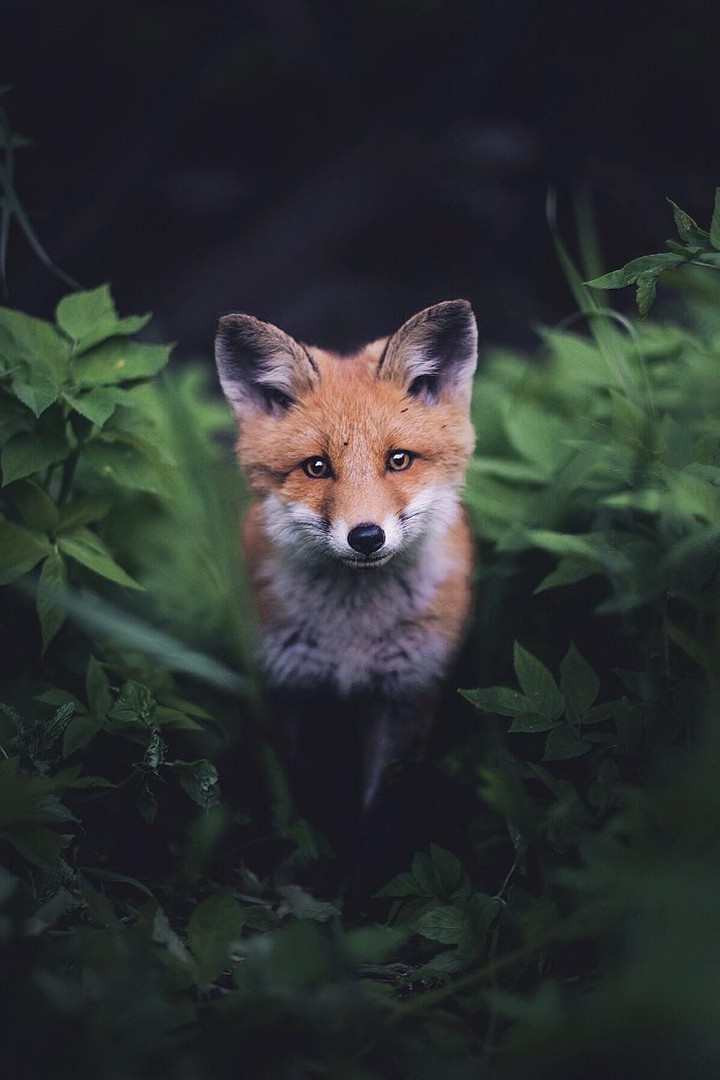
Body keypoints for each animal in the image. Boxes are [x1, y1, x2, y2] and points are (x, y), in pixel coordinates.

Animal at [215, 300, 478, 847]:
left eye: (398, 460)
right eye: (316, 467)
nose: (366, 537)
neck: (352, 636)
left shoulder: (405, 696)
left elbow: (380, 816)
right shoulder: (288, 690)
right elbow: (298, 808)